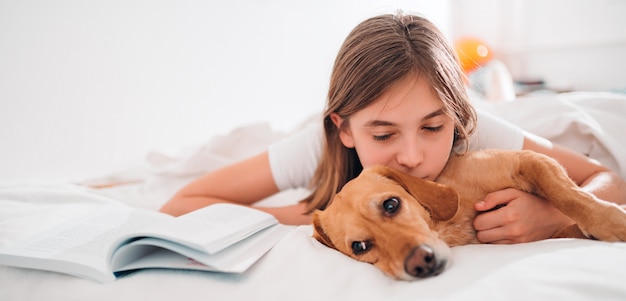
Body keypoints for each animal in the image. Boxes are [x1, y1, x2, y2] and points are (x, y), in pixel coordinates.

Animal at [310, 149, 624, 278]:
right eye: (359, 247)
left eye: (391, 205)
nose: (420, 263)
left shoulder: (528, 160)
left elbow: (567, 195)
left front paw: (609, 221)